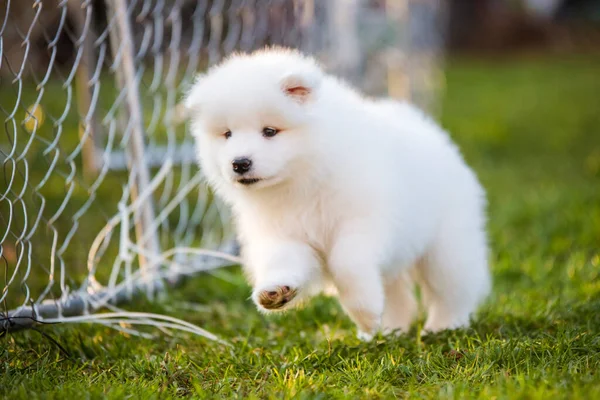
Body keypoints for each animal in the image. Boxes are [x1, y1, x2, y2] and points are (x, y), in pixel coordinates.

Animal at [185, 47, 490, 340]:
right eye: (227, 134)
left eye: (269, 131)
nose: (239, 163)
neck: (302, 183)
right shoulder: (284, 232)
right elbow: (283, 260)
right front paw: (275, 291)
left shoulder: (364, 222)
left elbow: (347, 263)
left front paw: (364, 313)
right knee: (398, 296)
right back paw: (389, 331)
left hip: (446, 246)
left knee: (452, 289)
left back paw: (443, 327)